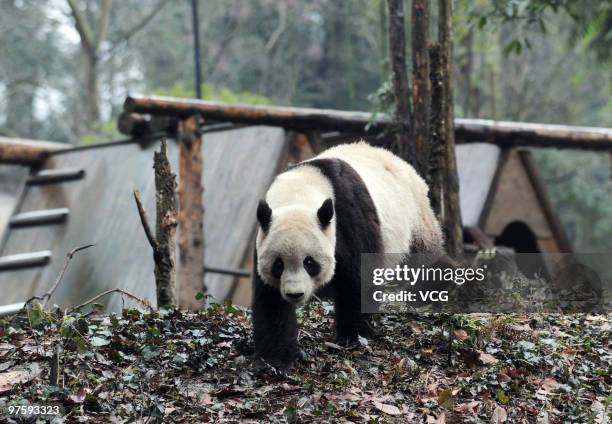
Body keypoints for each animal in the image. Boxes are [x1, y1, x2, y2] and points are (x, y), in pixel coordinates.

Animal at [251, 142, 442, 368]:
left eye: (309, 262)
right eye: (278, 264)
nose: (295, 294)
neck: (298, 194)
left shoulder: (347, 216)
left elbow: (358, 277)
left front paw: (353, 335)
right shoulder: (264, 237)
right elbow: (270, 300)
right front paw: (276, 360)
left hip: (415, 223)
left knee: (426, 261)